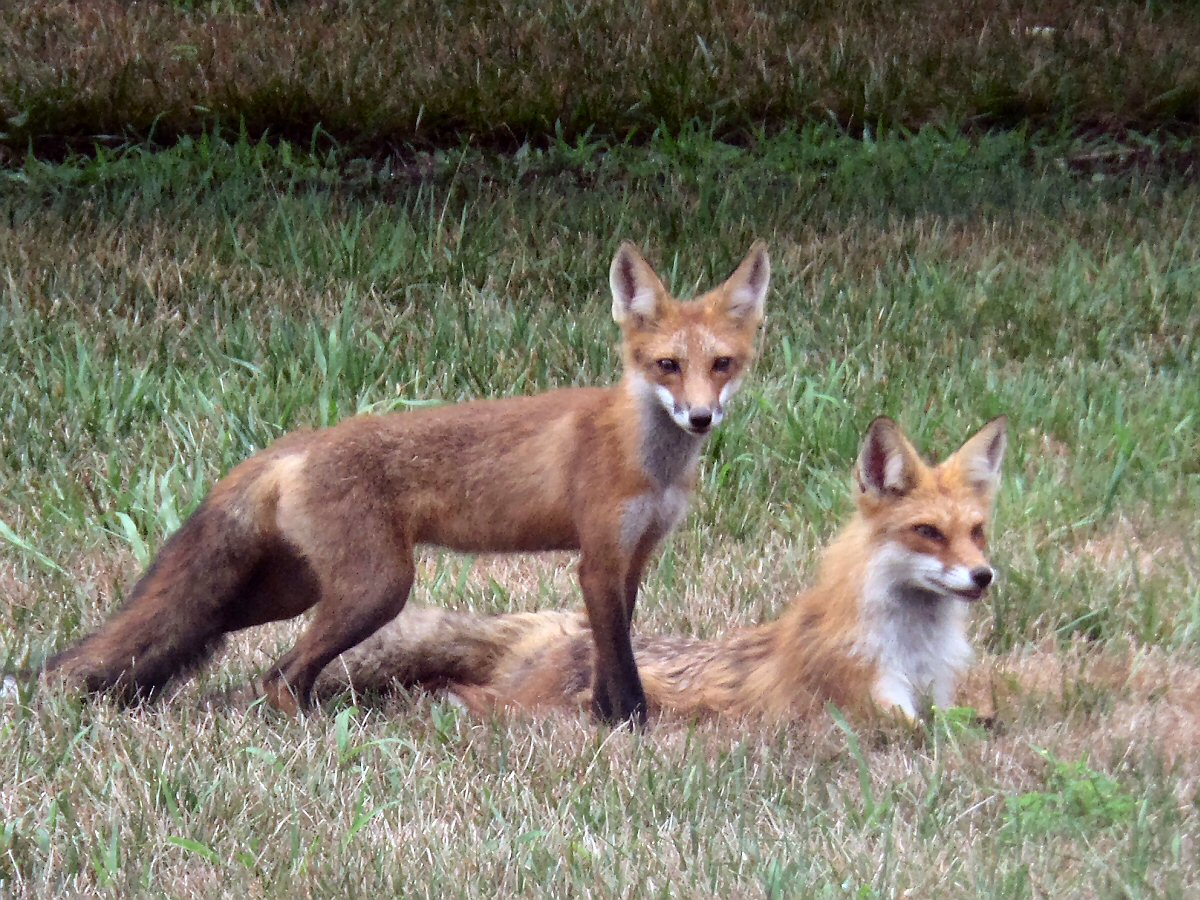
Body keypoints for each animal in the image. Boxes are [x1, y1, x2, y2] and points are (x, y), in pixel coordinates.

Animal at [43, 241, 771, 725]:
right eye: (667, 365)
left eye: (722, 364)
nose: (701, 416)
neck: (646, 455)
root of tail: (301, 443)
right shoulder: (597, 561)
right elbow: (617, 659)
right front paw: (625, 726)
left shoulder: (635, 557)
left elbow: (613, 650)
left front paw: (607, 718)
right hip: (377, 589)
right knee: (279, 675)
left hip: (288, 590)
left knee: (200, 633)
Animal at [314, 415, 1008, 723]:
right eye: (927, 533)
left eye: (976, 533)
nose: (983, 577)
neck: (914, 647)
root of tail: (556, 626)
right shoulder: (876, 708)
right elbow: (935, 732)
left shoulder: (937, 695)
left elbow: (974, 718)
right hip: (533, 705)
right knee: (469, 696)